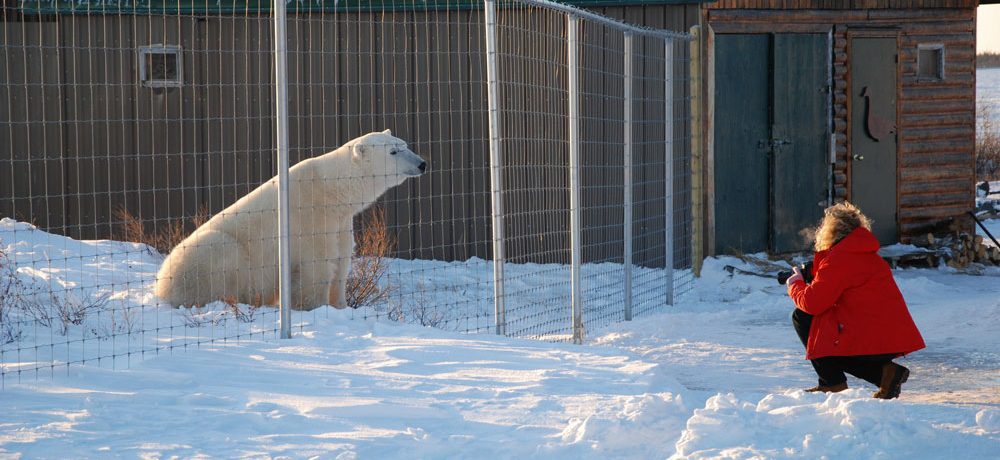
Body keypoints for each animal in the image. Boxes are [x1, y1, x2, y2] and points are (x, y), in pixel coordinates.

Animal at [153, 129, 426, 310]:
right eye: (393, 151)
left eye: (405, 143)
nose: (422, 164)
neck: (333, 191)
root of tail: (161, 287)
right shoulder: (310, 219)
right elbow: (316, 268)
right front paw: (314, 308)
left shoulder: (339, 224)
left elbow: (340, 262)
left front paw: (340, 306)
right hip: (211, 256)